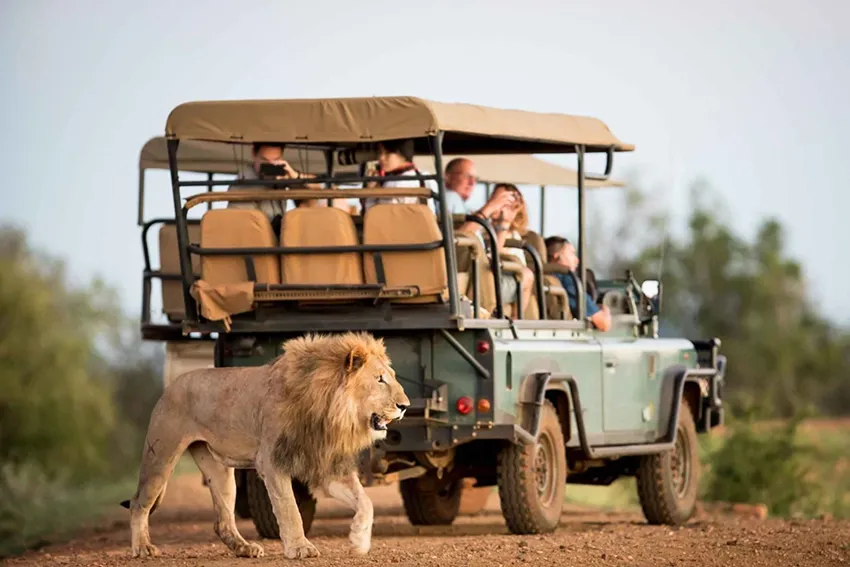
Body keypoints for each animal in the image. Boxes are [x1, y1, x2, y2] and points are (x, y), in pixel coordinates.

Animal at [121, 331, 410, 560]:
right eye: (380, 379)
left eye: (393, 376)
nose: (405, 406)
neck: (330, 411)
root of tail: (172, 385)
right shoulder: (272, 462)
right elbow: (289, 508)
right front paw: (300, 548)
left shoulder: (326, 465)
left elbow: (365, 502)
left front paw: (359, 540)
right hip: (161, 455)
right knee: (139, 503)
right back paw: (143, 548)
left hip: (219, 471)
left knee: (223, 520)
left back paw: (244, 549)